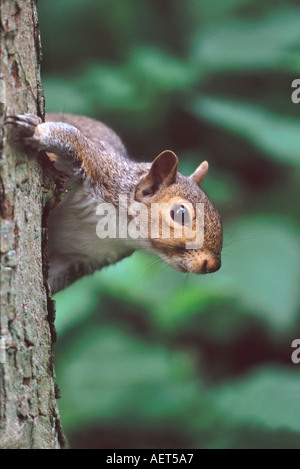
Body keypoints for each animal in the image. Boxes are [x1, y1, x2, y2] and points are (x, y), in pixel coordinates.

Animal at [5, 112, 223, 292]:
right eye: (180, 213)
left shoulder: (82, 258)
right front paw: (34, 130)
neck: (120, 228)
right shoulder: (101, 168)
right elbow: (71, 138)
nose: (214, 266)